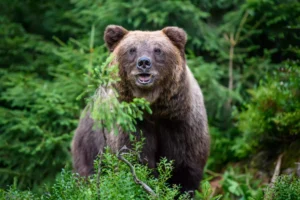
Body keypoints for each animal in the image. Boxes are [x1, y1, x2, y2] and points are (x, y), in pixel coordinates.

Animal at [71, 25, 210, 194]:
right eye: (132, 49)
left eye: (158, 49)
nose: (144, 62)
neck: (154, 109)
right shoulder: (131, 123)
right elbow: (136, 159)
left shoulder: (180, 122)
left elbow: (185, 167)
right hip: (90, 142)